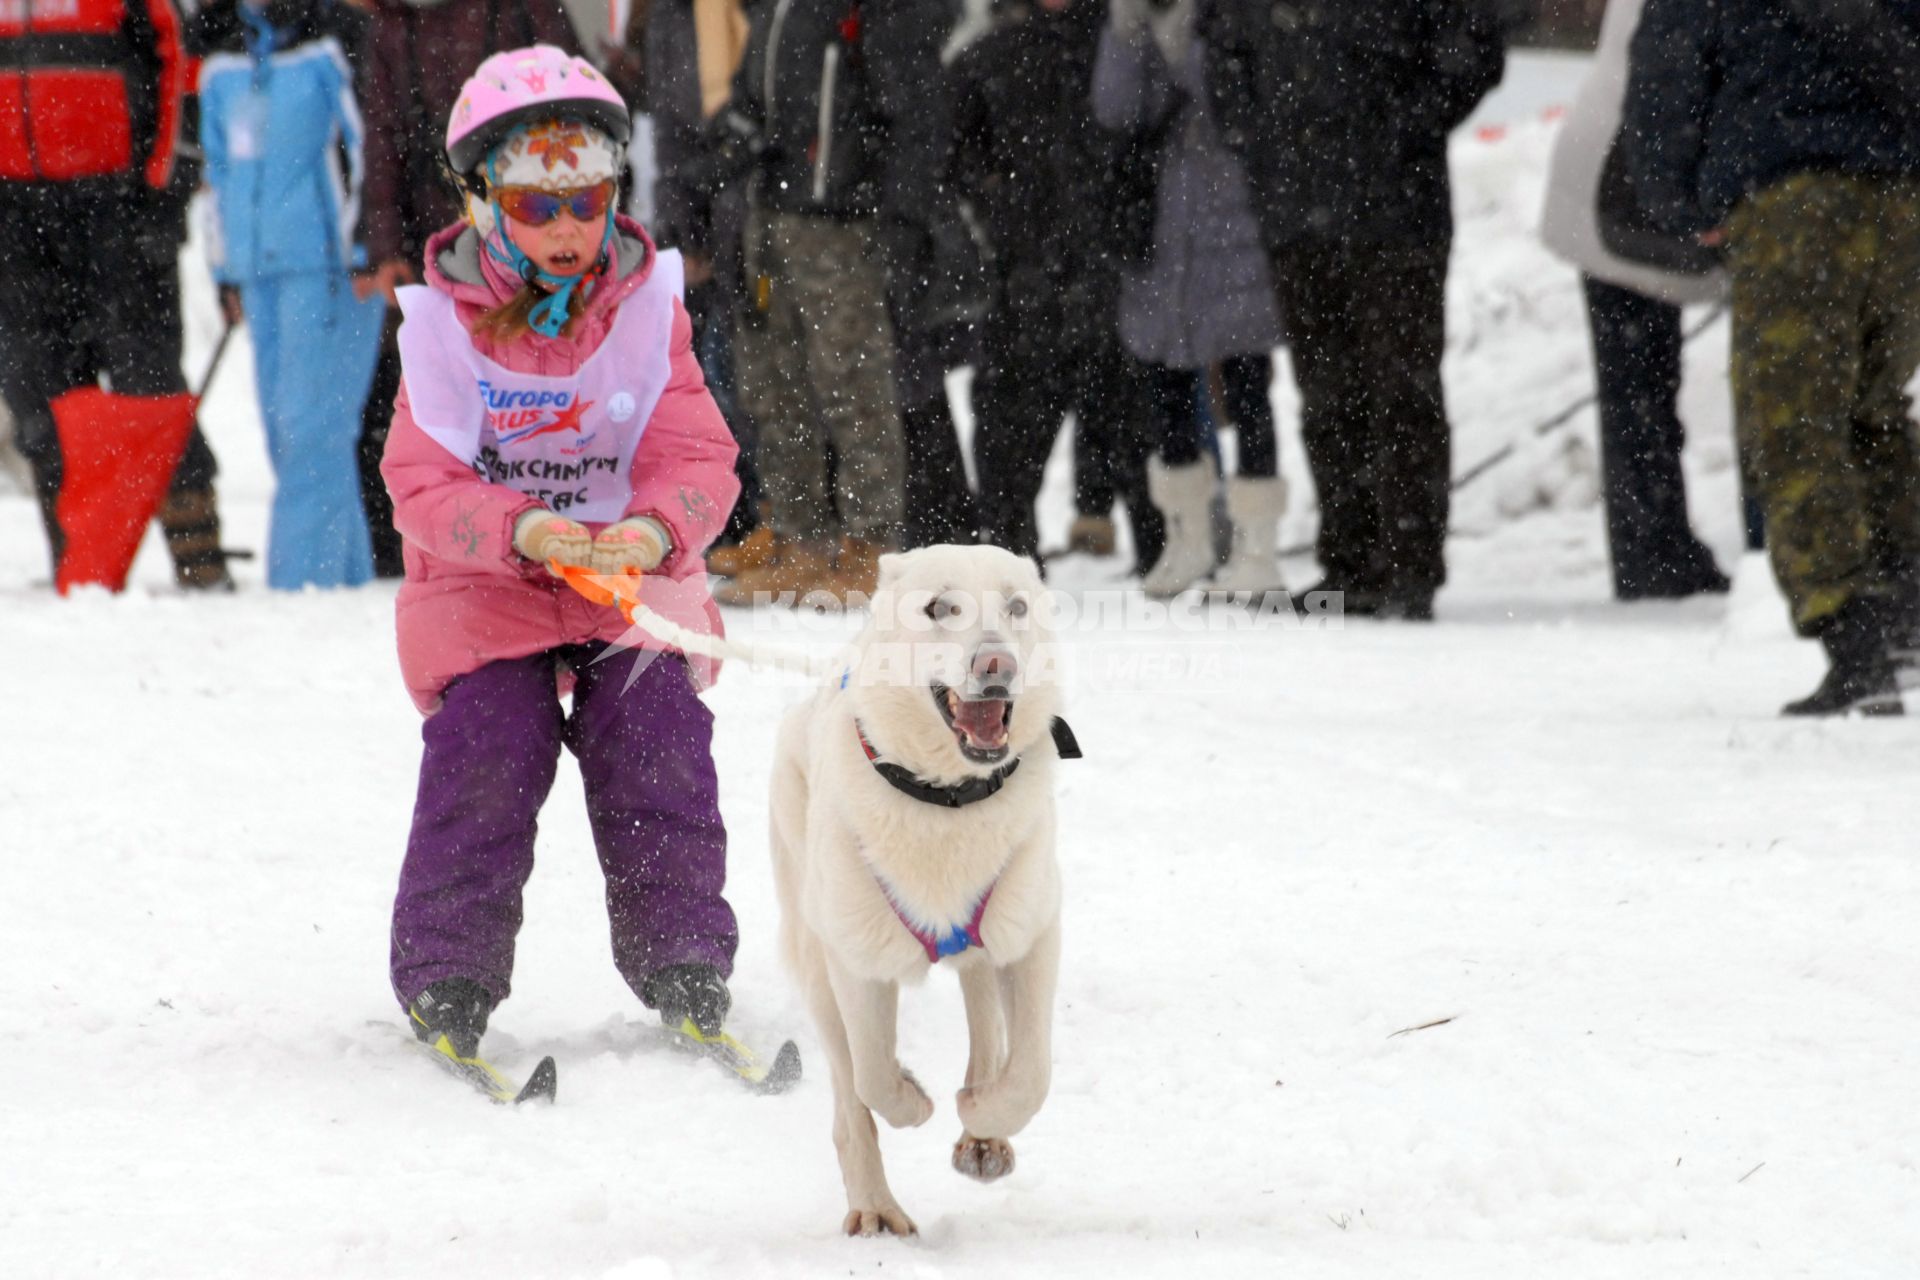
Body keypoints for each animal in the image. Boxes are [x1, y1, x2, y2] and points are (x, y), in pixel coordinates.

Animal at [771, 545, 1090, 1235]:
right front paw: (913, 1101)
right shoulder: (857, 959)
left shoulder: (1030, 935)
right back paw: (875, 1207)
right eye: (940, 607)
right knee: (849, 1099)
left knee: (983, 1008)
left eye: (1016, 605)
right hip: (814, 961)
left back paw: (982, 1135)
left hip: (985, 938)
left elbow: (1030, 1075)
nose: (997, 664)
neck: (945, 799)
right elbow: (872, 1076)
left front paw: (982, 1114)